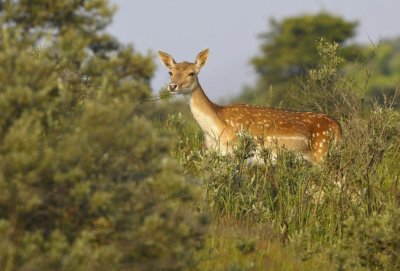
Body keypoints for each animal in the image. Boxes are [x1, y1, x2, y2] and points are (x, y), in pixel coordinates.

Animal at [158, 49, 342, 164]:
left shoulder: (235, 150)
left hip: (321, 152)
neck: (215, 129)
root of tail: (338, 127)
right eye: (170, 72)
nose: (172, 86)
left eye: (191, 73)